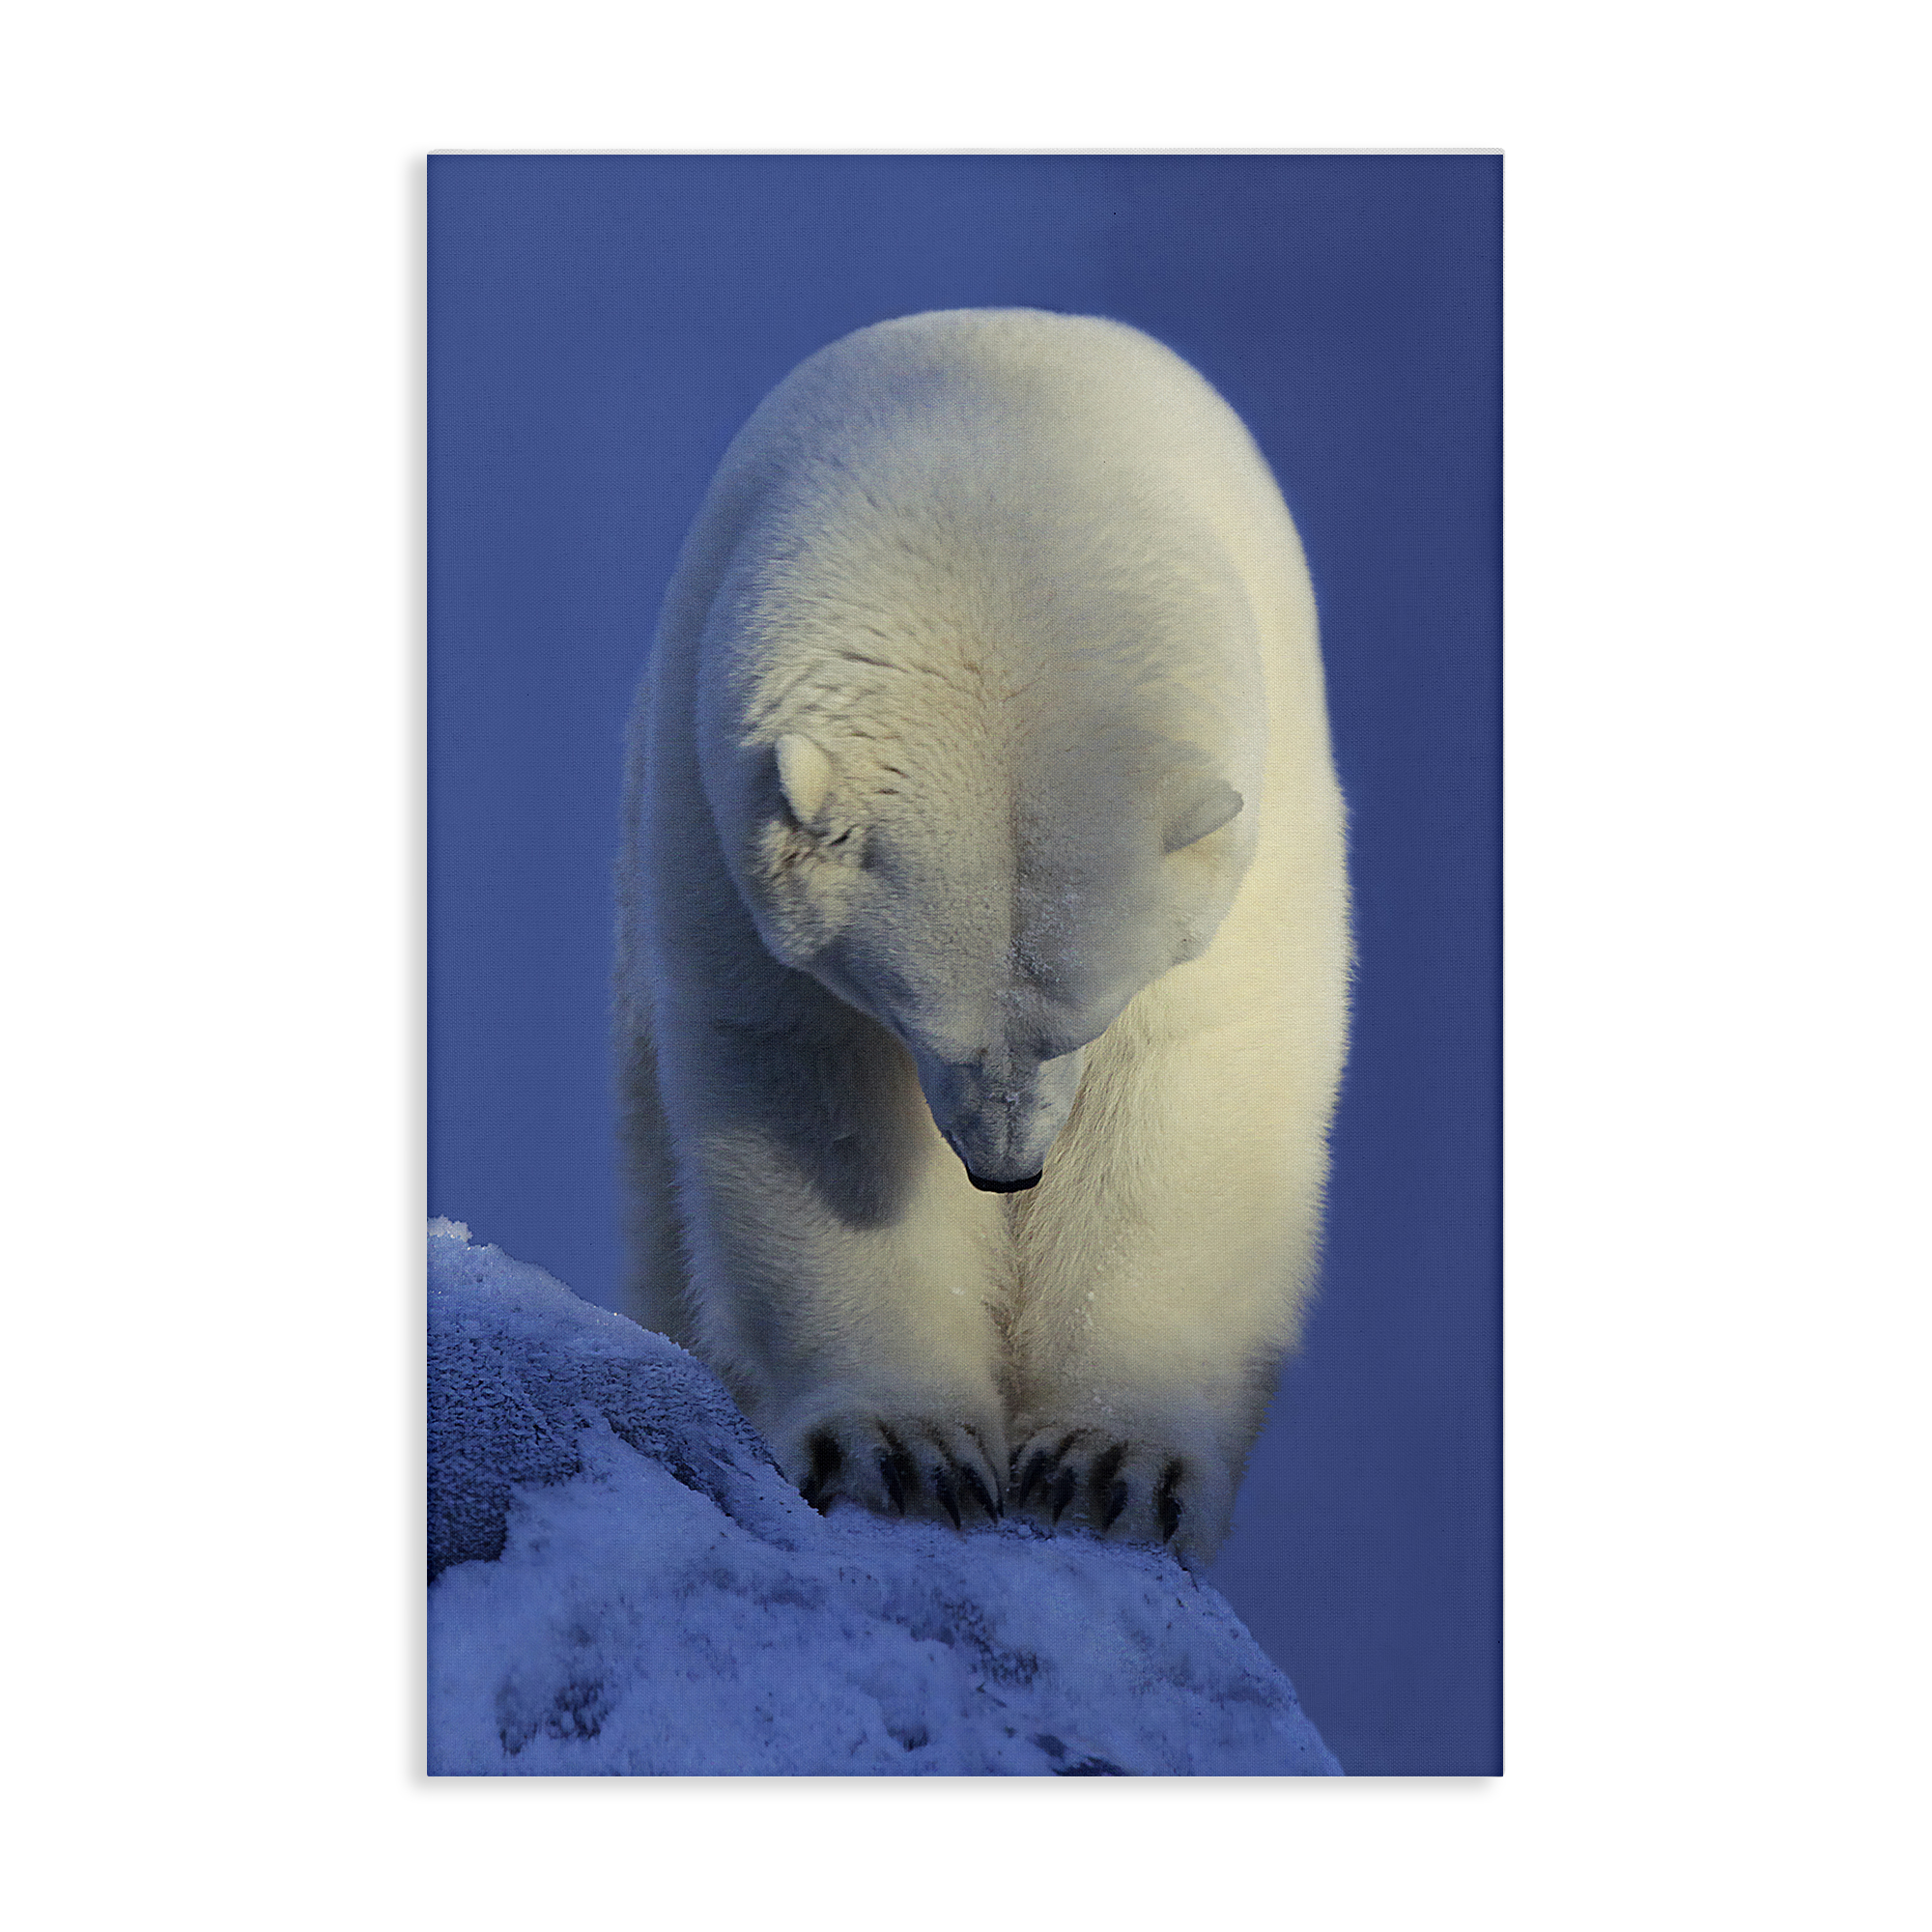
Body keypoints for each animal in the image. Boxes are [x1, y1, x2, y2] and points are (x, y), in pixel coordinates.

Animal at [614, 309, 1349, 1567]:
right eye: (915, 1015)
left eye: (1084, 1016)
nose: (1006, 1168)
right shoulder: (713, 822)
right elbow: (811, 1093)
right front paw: (903, 1452)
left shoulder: (1258, 823)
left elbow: (1195, 1088)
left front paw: (1107, 1467)